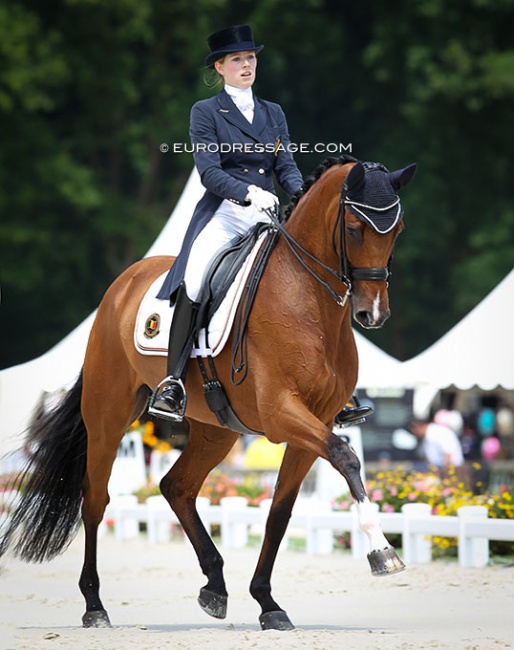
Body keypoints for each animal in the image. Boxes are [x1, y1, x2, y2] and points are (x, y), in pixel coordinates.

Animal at [0, 154, 414, 632]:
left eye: (397, 229)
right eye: (353, 227)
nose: (373, 314)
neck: (308, 300)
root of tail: (122, 284)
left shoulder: (317, 422)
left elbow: (280, 511)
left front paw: (268, 603)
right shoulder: (282, 413)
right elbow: (347, 457)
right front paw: (382, 551)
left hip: (217, 430)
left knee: (176, 486)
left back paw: (214, 587)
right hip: (107, 419)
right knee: (96, 501)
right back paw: (94, 606)